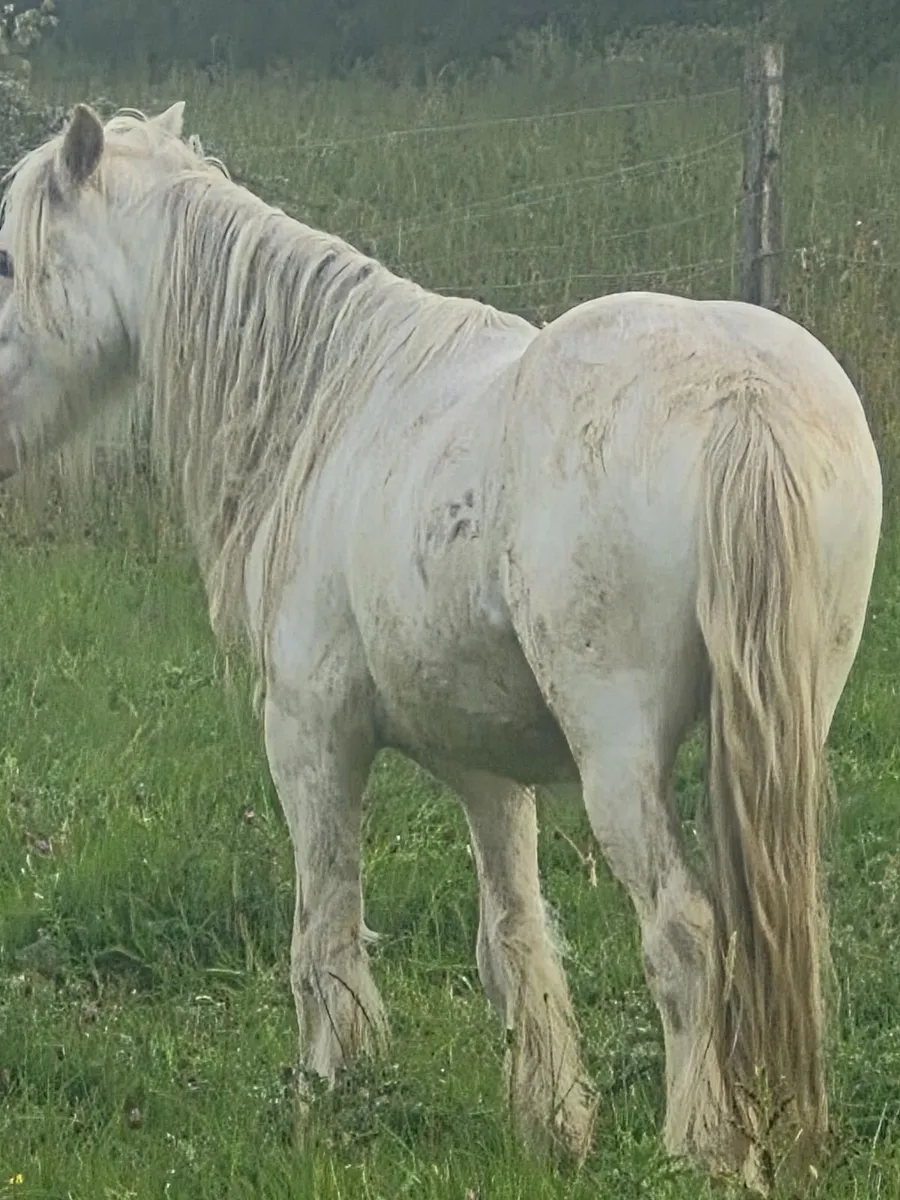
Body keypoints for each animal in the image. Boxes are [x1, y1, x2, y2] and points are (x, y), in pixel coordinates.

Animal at [0, 102, 882, 1191]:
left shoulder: (311, 736)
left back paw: (704, 1150)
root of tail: (740, 397)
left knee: (682, 931)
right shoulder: (487, 772)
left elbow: (325, 933)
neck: (327, 400)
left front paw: (327, 1102)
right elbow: (514, 939)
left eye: (7, 261)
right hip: (780, 736)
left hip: (620, 756)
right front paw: (554, 1126)